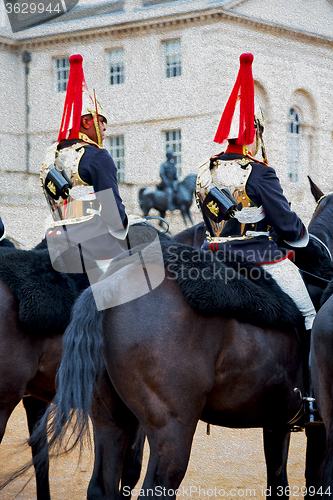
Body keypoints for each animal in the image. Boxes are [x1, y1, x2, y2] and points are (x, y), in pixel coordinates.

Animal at [24, 182, 333, 498]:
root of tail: (111, 285)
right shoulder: (318, 428)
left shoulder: (277, 422)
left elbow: (278, 482)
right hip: (171, 430)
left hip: (110, 420)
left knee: (102, 486)